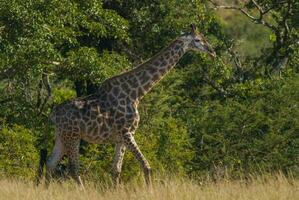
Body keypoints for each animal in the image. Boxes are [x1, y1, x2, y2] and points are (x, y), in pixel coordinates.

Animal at [37, 25, 216, 188]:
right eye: (197, 40)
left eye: (204, 37)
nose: (212, 52)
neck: (136, 93)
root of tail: (53, 113)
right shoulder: (127, 132)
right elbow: (146, 166)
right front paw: (150, 191)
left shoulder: (121, 137)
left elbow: (116, 170)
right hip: (73, 136)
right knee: (73, 169)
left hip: (61, 135)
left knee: (50, 163)